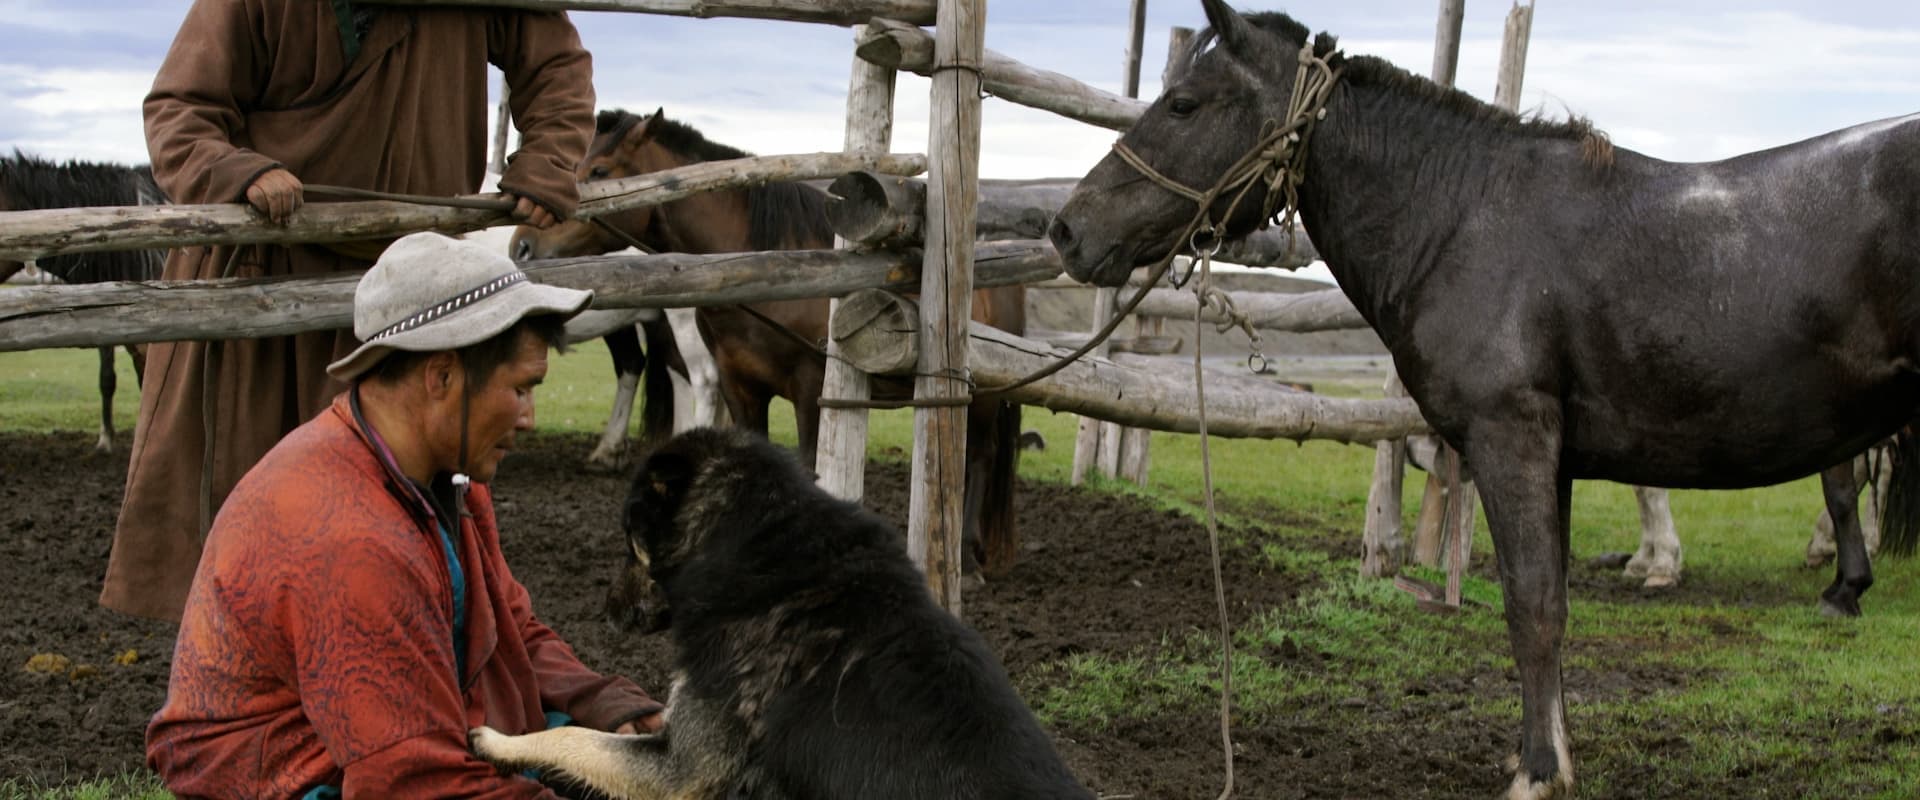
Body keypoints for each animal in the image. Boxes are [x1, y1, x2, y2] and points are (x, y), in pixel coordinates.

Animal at [468, 429, 1098, 798]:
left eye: (629, 541)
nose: (607, 610)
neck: (750, 546)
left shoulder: (683, 769)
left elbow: (573, 737)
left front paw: (498, 740)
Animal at [506, 109, 1021, 571]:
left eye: (598, 172)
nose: (521, 246)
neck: (770, 272)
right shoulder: (741, 388)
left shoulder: (812, 390)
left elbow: (814, 467)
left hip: (983, 392)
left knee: (980, 456)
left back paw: (966, 559)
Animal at [1052, 3, 1920, 794]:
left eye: (1184, 103)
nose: (1067, 229)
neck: (1463, 220)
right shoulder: (1553, 461)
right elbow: (1550, 602)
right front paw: (1551, 756)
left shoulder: (1513, 442)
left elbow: (1532, 609)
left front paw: (1535, 772)